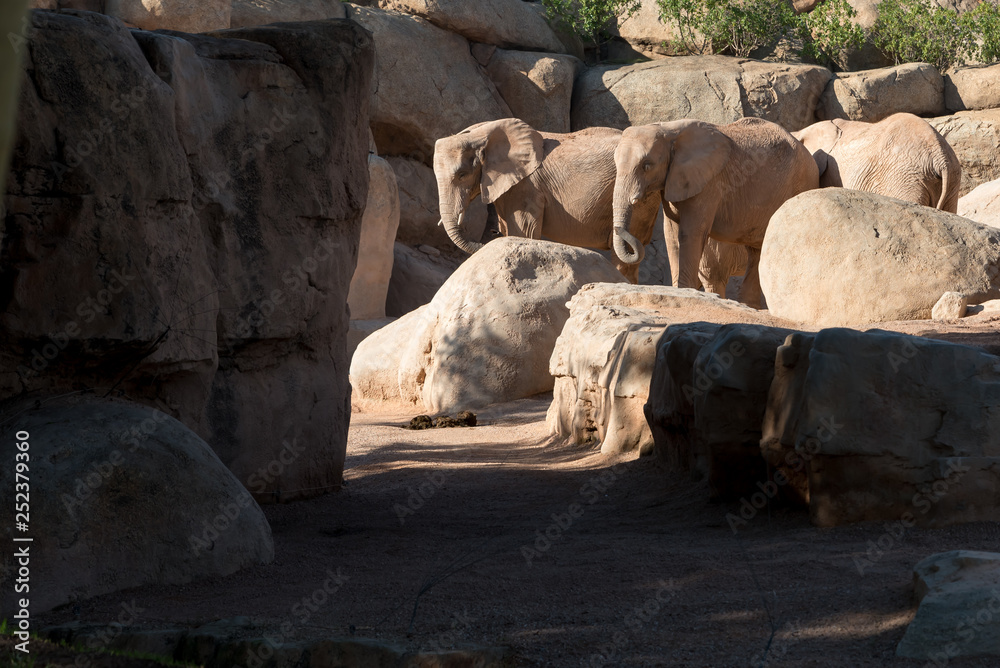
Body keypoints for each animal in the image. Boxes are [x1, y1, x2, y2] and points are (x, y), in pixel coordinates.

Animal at [433, 118, 661, 283]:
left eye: (462, 175)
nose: (487, 237)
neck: (481, 134)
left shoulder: (526, 187)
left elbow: (522, 233)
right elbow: (510, 231)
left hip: (638, 192)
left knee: (623, 255)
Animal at [612, 117, 819, 307]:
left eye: (647, 165)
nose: (636, 243)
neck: (668, 129)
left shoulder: (709, 183)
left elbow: (690, 234)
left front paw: (685, 292)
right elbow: (671, 235)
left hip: (801, 185)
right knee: (756, 252)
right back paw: (747, 306)